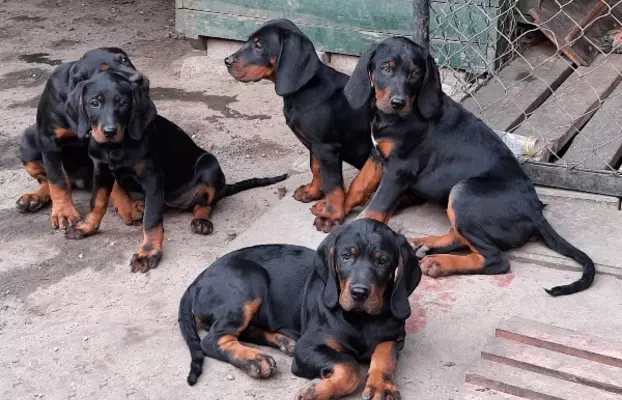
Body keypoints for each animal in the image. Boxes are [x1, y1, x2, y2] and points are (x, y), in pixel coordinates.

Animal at [16, 47, 144, 228]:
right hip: (27, 141)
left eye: (124, 60)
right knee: (50, 179)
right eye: (103, 72)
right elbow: (56, 179)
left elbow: (114, 182)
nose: (138, 80)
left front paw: (128, 206)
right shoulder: (49, 140)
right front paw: (64, 212)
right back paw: (33, 198)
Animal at [63, 71, 288, 272]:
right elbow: (97, 202)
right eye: (94, 103)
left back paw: (201, 220)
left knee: (205, 202)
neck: (116, 147)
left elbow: (152, 220)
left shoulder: (153, 177)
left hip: (210, 165)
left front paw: (148, 253)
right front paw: (86, 227)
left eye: (123, 103)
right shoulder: (101, 171)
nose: (109, 131)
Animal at [180, 219, 424, 400]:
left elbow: (385, 354)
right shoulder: (308, 347)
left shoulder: (395, 337)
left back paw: (283, 342)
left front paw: (383, 386)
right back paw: (255, 360)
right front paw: (315, 391)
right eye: (346, 256)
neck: (361, 320)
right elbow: (350, 366)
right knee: (213, 339)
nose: (359, 293)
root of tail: (198, 279)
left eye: (383, 261)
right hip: (250, 281)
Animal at [225, 19, 386, 231]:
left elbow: (333, 185)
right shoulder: (314, 144)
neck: (305, 90)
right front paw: (312, 192)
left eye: (258, 45)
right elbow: (316, 168)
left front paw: (331, 215)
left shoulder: (327, 148)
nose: (226, 61)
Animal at [344, 36, 596, 296]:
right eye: (386, 68)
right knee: (462, 237)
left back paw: (440, 263)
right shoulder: (377, 156)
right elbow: (359, 186)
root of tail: (536, 214)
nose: (397, 102)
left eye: (414, 74)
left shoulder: (399, 168)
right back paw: (426, 244)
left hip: (463, 192)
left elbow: (375, 208)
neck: (393, 118)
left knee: (496, 259)